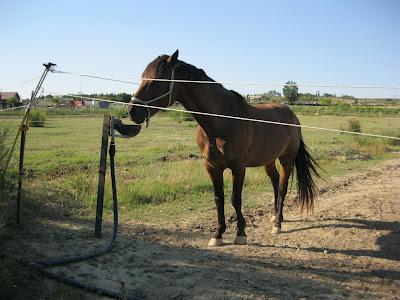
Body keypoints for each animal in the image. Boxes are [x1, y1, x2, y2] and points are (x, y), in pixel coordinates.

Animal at [128, 49, 318, 246]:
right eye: (143, 77)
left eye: (157, 79)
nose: (132, 111)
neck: (220, 121)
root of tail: (293, 116)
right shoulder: (212, 167)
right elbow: (218, 199)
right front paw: (218, 234)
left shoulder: (238, 167)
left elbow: (236, 199)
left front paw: (240, 233)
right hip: (268, 160)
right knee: (274, 182)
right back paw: (274, 216)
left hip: (286, 159)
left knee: (282, 187)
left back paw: (278, 224)